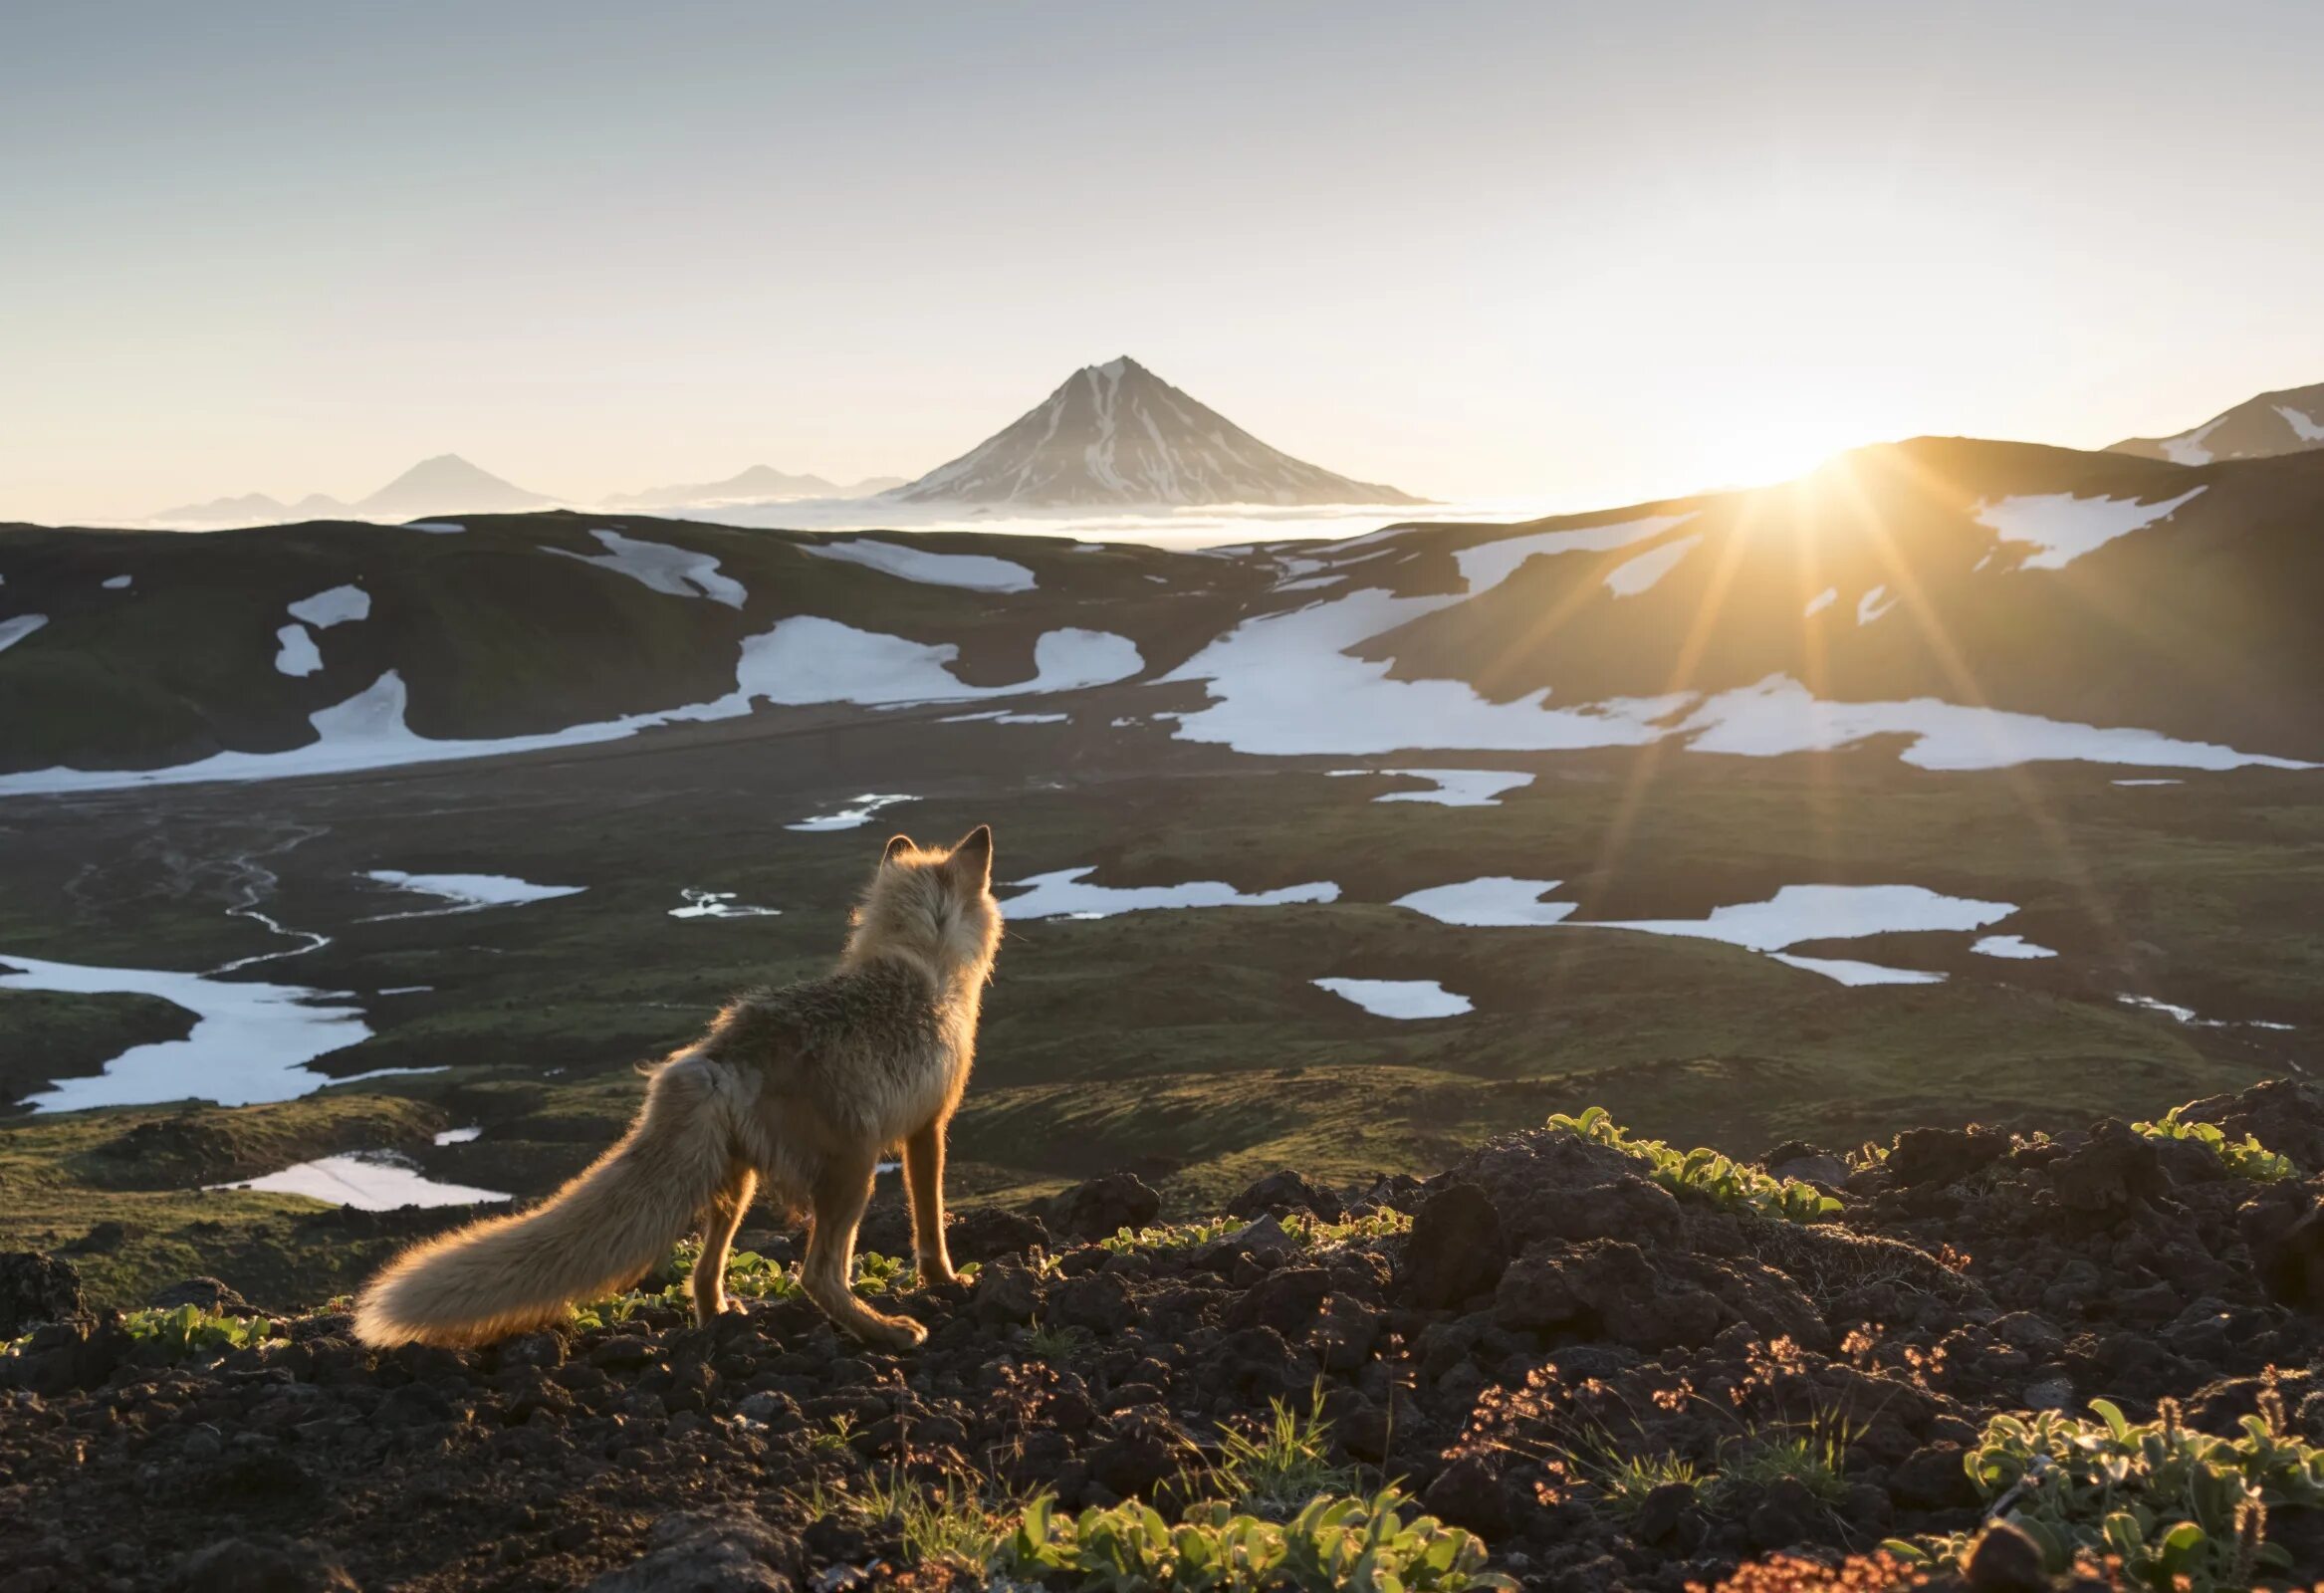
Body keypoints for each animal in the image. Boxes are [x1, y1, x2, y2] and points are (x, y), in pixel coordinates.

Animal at [349, 830, 1004, 1356]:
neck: (922, 959)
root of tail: (720, 1054)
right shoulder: (930, 1127)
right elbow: (930, 1222)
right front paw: (944, 1282)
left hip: (734, 1181)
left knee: (705, 1272)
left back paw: (721, 1321)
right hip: (852, 1172)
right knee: (816, 1275)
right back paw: (888, 1333)